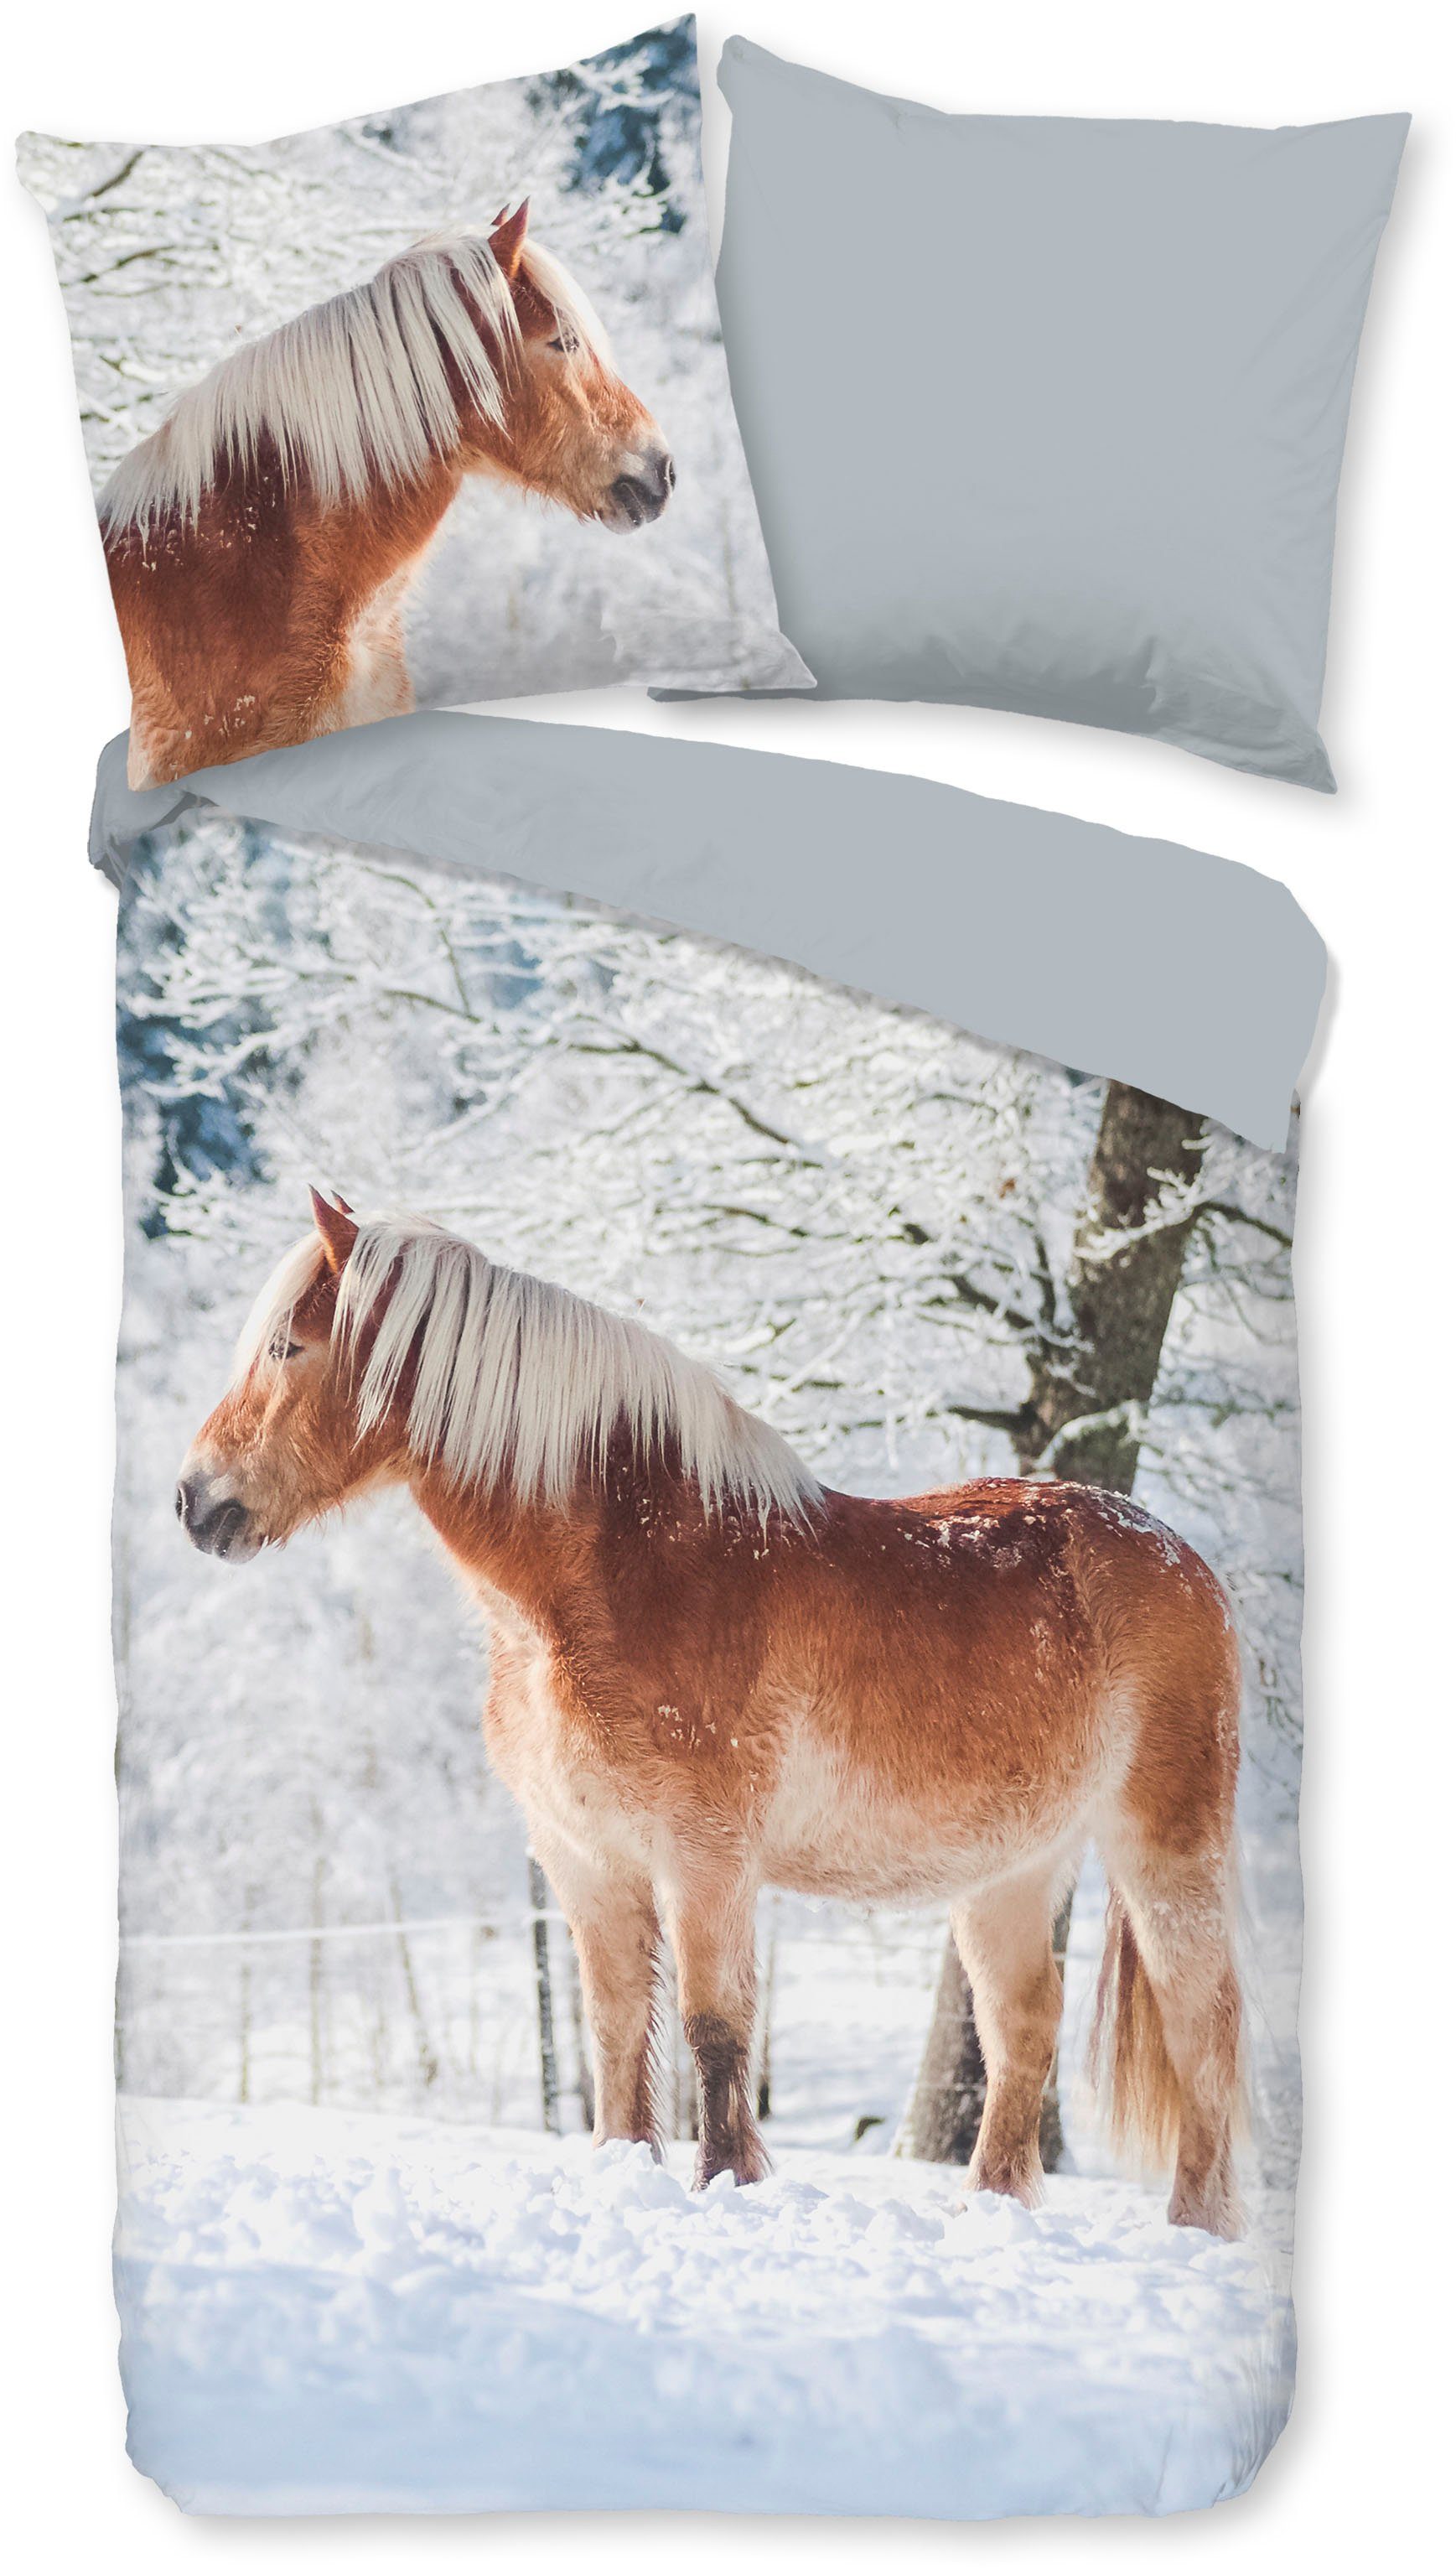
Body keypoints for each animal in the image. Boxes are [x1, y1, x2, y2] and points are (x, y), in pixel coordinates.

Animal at [176, 1193, 1246, 2237]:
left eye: (287, 1346)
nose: (193, 1501)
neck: (616, 1571)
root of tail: (1186, 1560)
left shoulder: (705, 1855)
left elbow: (714, 2028)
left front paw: (726, 2185)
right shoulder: (585, 1859)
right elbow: (616, 2026)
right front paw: (623, 2170)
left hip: (1165, 1853)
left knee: (1206, 2028)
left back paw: (1195, 2229)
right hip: (1011, 1872)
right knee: (1024, 2028)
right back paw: (988, 2214)